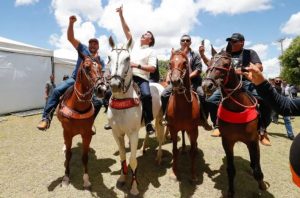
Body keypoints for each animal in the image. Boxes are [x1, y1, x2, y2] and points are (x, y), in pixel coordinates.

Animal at [56, 53, 103, 189]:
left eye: (101, 68)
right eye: (86, 67)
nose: (102, 89)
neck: (78, 107)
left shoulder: (86, 134)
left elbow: (85, 156)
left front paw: (86, 180)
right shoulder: (67, 132)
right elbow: (68, 155)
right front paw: (66, 178)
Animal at [106, 36, 165, 195]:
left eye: (128, 58)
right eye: (109, 57)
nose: (115, 84)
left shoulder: (132, 133)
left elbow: (132, 160)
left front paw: (133, 187)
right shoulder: (117, 133)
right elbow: (122, 157)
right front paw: (122, 178)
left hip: (159, 119)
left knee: (160, 137)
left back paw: (158, 158)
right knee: (148, 133)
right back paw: (144, 148)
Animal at [202, 49, 268, 196]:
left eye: (226, 64)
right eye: (208, 63)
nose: (206, 85)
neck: (237, 109)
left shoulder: (253, 141)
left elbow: (257, 171)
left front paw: (262, 185)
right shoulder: (227, 142)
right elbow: (231, 170)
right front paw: (231, 192)